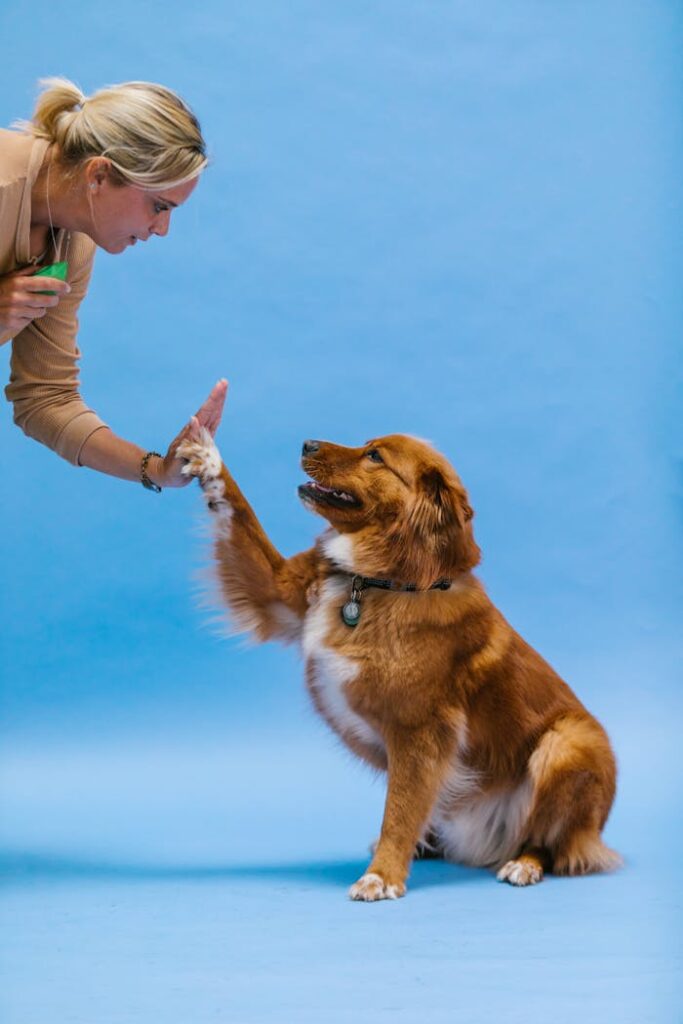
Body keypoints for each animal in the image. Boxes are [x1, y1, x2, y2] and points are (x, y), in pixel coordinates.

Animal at [176, 428, 618, 901]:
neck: (378, 582)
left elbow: (399, 810)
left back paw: (524, 863)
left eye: (375, 457)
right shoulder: (276, 590)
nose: (307, 443)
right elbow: (239, 510)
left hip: (567, 742)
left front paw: (381, 875)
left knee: (552, 840)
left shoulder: (419, 732)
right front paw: (207, 456)